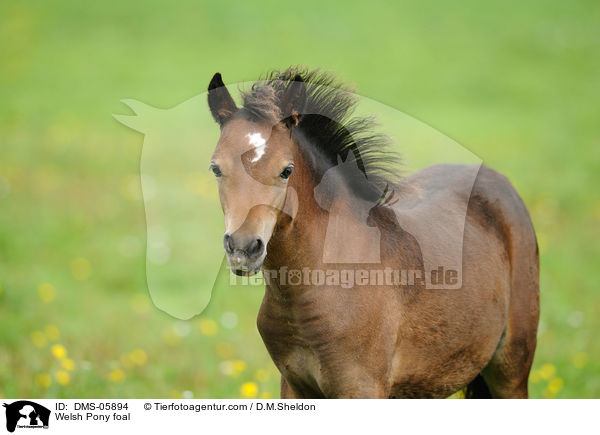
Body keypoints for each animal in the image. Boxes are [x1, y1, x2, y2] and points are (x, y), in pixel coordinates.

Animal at [206, 67, 540, 398]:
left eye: (286, 170)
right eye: (216, 168)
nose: (243, 248)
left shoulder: (361, 388)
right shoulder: (294, 385)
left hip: (511, 371)